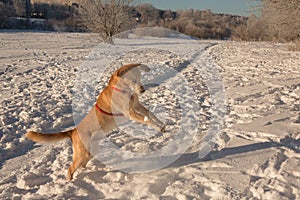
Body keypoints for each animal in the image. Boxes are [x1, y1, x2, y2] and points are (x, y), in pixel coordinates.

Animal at [26, 64, 165, 180]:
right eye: (133, 80)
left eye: (140, 78)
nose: (142, 90)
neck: (122, 90)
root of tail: (73, 131)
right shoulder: (130, 113)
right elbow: (147, 120)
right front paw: (157, 127)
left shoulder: (137, 106)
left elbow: (150, 114)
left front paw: (162, 125)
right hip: (81, 154)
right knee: (70, 168)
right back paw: (70, 182)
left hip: (90, 151)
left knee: (82, 164)